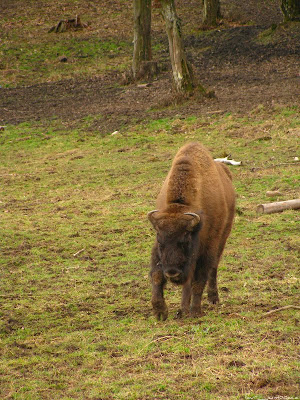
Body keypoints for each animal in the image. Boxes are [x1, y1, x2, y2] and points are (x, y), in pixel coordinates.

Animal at [148, 142, 234, 320]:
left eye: (185, 240)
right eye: (160, 241)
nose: (172, 273)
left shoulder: (207, 247)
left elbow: (199, 280)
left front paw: (195, 311)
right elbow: (156, 275)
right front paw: (160, 312)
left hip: (222, 238)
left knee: (213, 269)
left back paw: (211, 299)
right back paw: (182, 309)